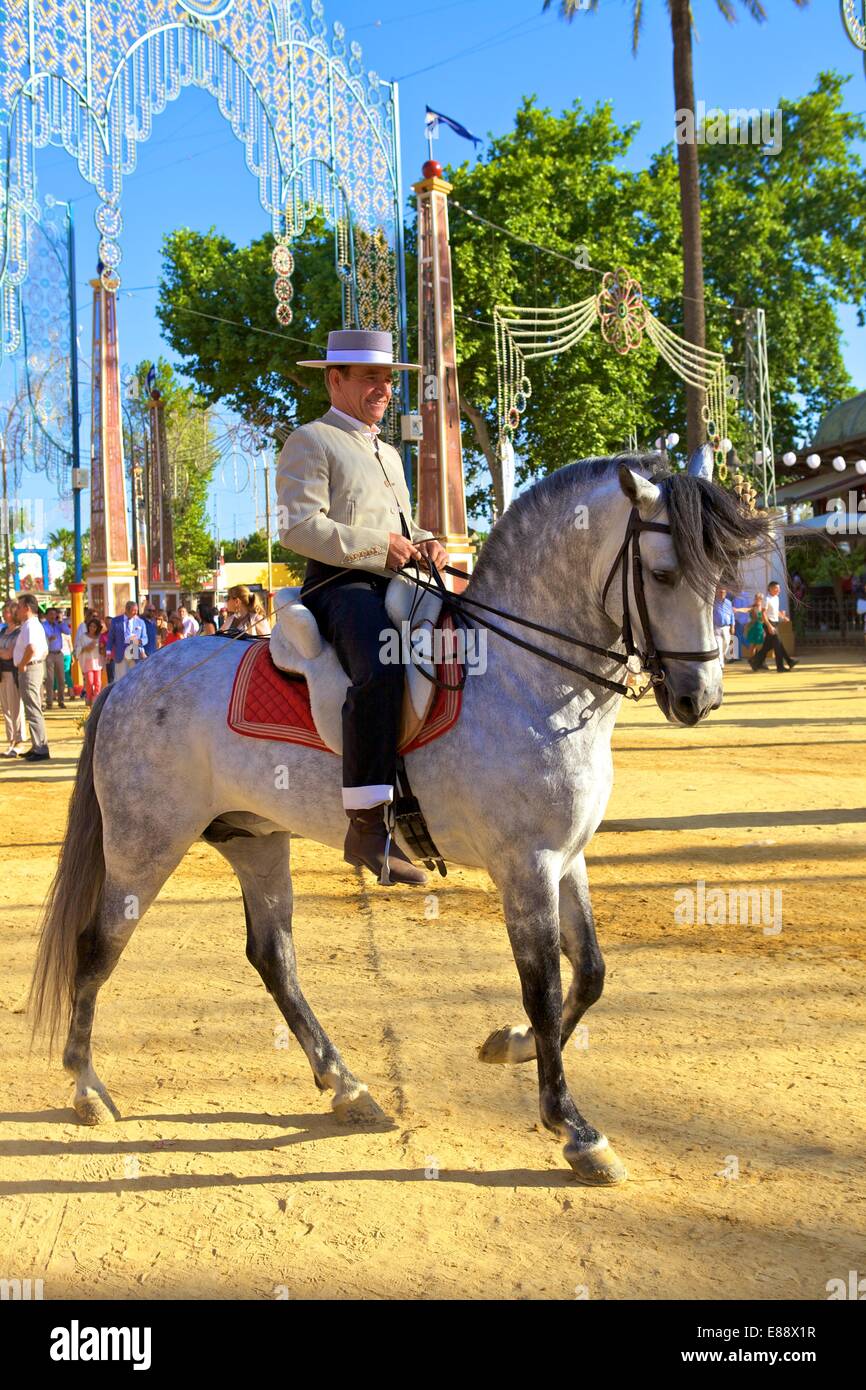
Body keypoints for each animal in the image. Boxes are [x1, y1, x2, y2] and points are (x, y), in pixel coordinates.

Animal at [30, 455, 767, 1184]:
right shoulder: (525, 866)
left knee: (274, 958)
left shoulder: (567, 859)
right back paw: (86, 1086)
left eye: (723, 579)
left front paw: (513, 1044)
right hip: (144, 847)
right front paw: (573, 1127)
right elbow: (544, 986)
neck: (523, 676)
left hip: (256, 843)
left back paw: (346, 1085)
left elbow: (588, 972)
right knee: (96, 947)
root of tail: (130, 680)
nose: (700, 698)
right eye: (664, 573)